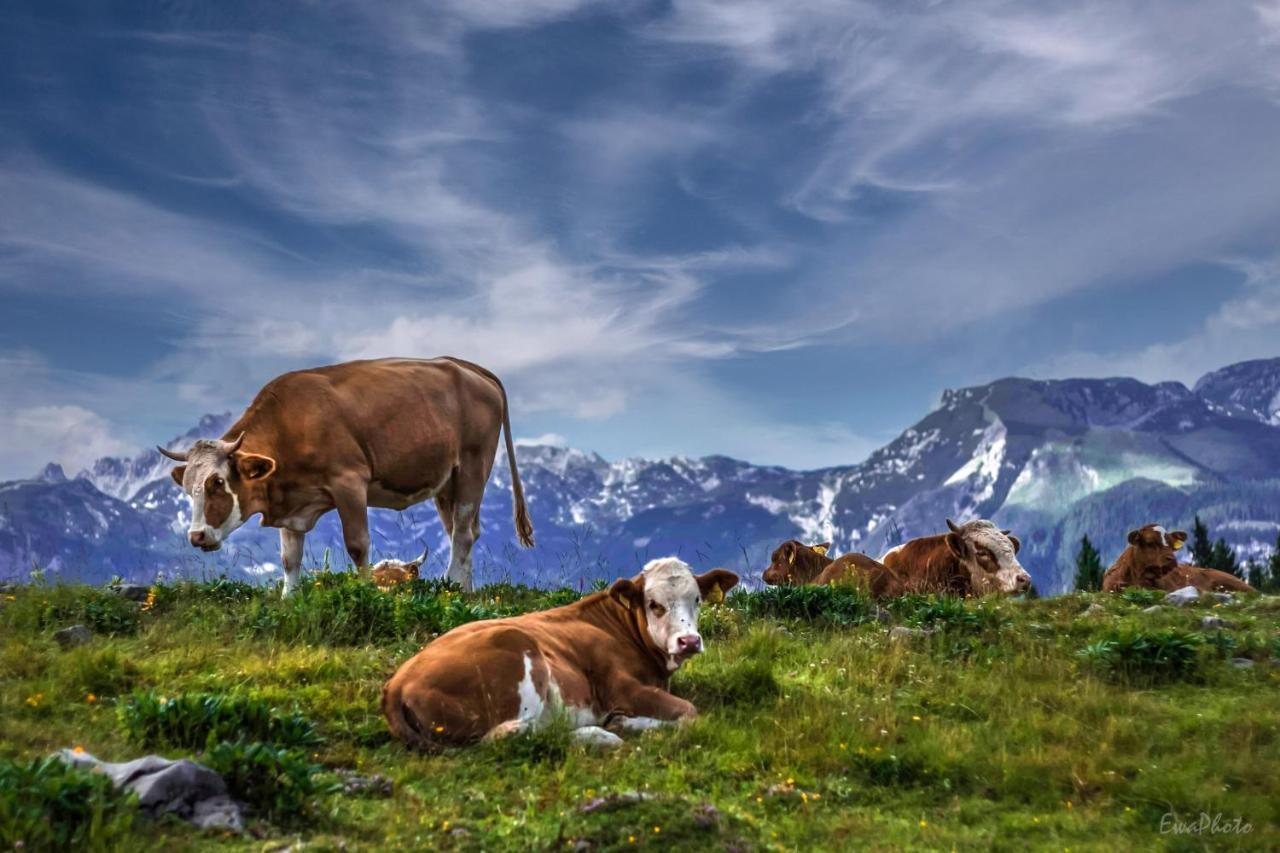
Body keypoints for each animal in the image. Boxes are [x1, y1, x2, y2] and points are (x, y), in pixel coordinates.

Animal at [381, 555, 742, 747]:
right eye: (654, 604)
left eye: (697, 599)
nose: (689, 641)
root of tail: (397, 682)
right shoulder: (621, 687)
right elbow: (690, 713)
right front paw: (622, 723)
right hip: (519, 660)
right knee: (518, 734)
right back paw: (597, 734)